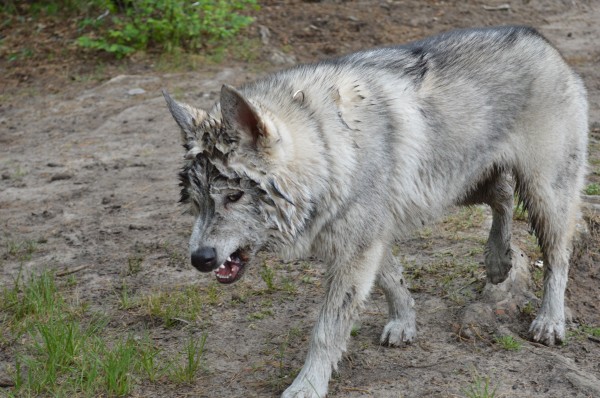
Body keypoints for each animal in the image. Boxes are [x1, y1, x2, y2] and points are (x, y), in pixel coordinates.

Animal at [163, 26, 584, 396]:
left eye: (234, 197)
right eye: (198, 202)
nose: (199, 259)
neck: (331, 148)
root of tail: (543, 41)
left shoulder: (357, 248)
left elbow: (327, 331)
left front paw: (308, 386)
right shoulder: (368, 238)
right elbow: (392, 280)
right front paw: (404, 322)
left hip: (543, 194)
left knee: (557, 256)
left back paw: (549, 320)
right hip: (459, 184)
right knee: (502, 196)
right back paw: (497, 260)